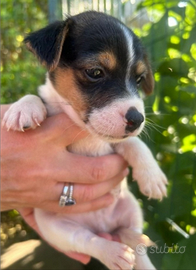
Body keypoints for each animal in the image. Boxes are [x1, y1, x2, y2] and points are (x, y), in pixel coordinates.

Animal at [3, 11, 167, 270]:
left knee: (136, 246)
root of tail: (102, 226)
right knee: (88, 240)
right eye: (95, 72)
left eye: (140, 79)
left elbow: (134, 143)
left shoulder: (114, 142)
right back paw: (114, 253)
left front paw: (152, 176)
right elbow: (35, 96)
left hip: (131, 210)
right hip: (55, 228)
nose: (137, 119)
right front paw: (23, 108)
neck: (87, 134)